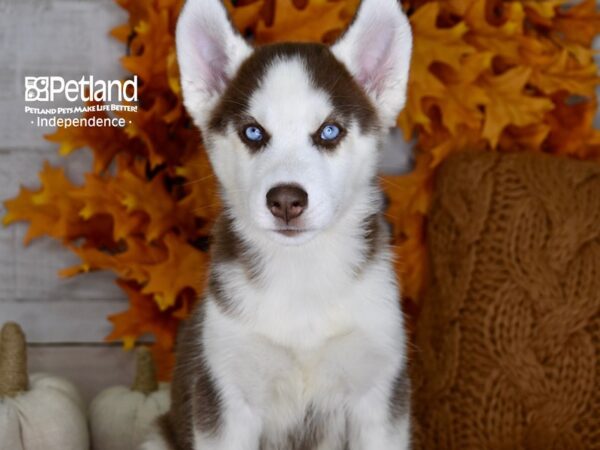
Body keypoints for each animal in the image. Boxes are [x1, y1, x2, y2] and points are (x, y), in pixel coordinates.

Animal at [143, 0, 410, 448]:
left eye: (329, 131)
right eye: (253, 132)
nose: (286, 199)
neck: (301, 276)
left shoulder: (379, 394)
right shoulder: (225, 397)